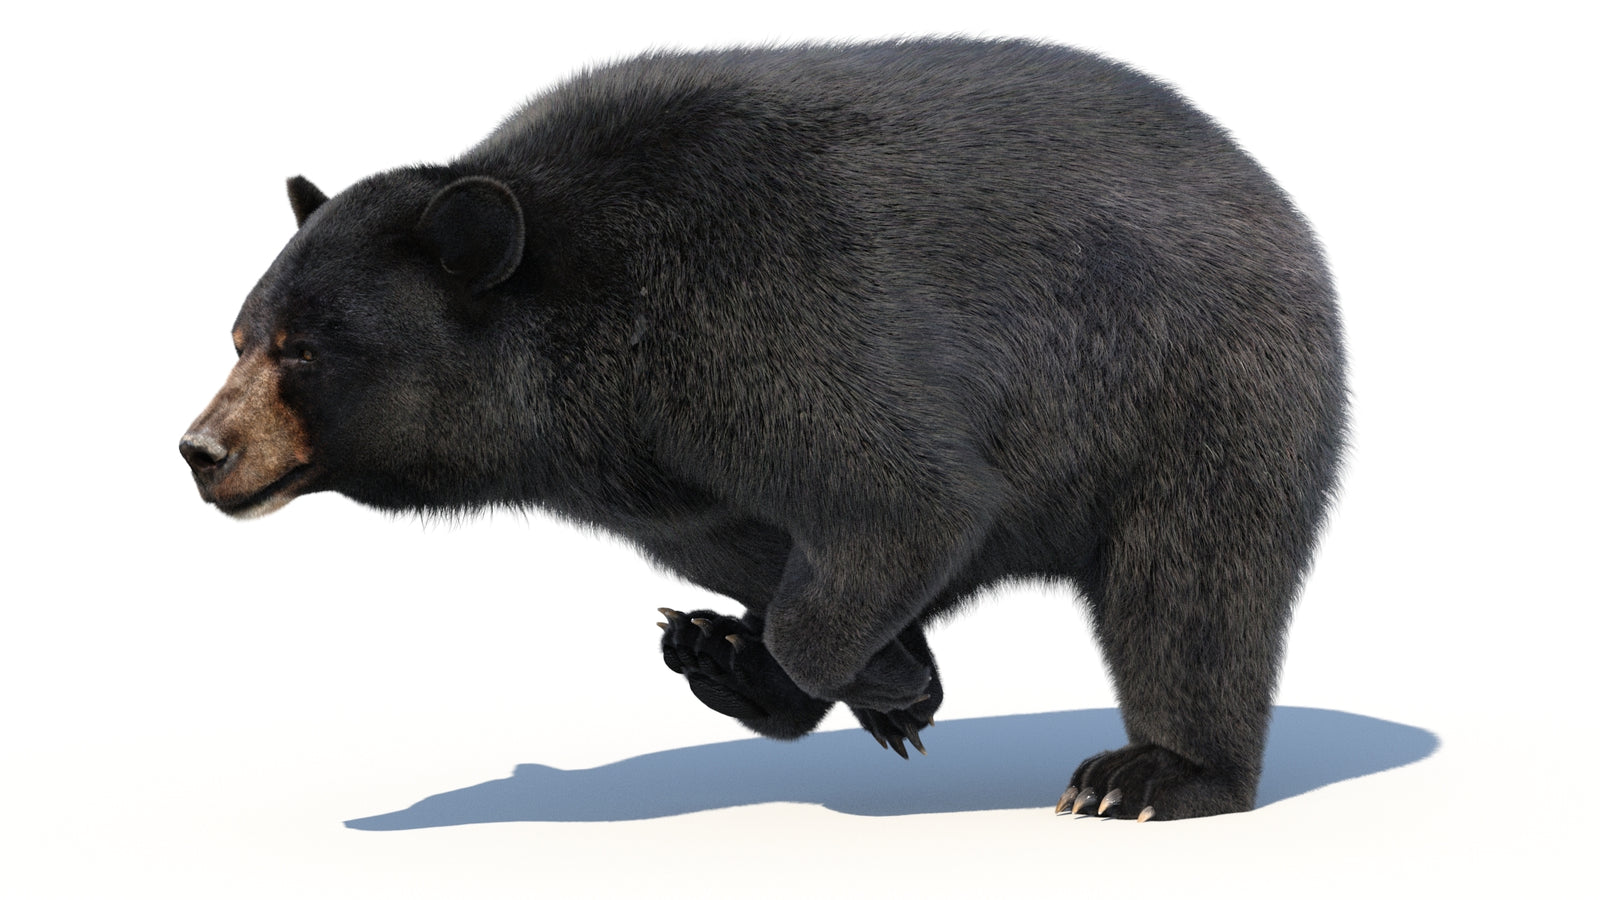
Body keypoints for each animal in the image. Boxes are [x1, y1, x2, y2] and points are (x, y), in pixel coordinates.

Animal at [180, 38, 1347, 822]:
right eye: (238, 334)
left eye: (302, 350)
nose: (202, 451)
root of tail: (1268, 191)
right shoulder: (649, 472)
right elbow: (759, 545)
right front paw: (854, 674)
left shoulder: (758, 322)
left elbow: (908, 499)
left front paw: (873, 678)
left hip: (1206, 389)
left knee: (1192, 588)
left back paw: (1152, 774)